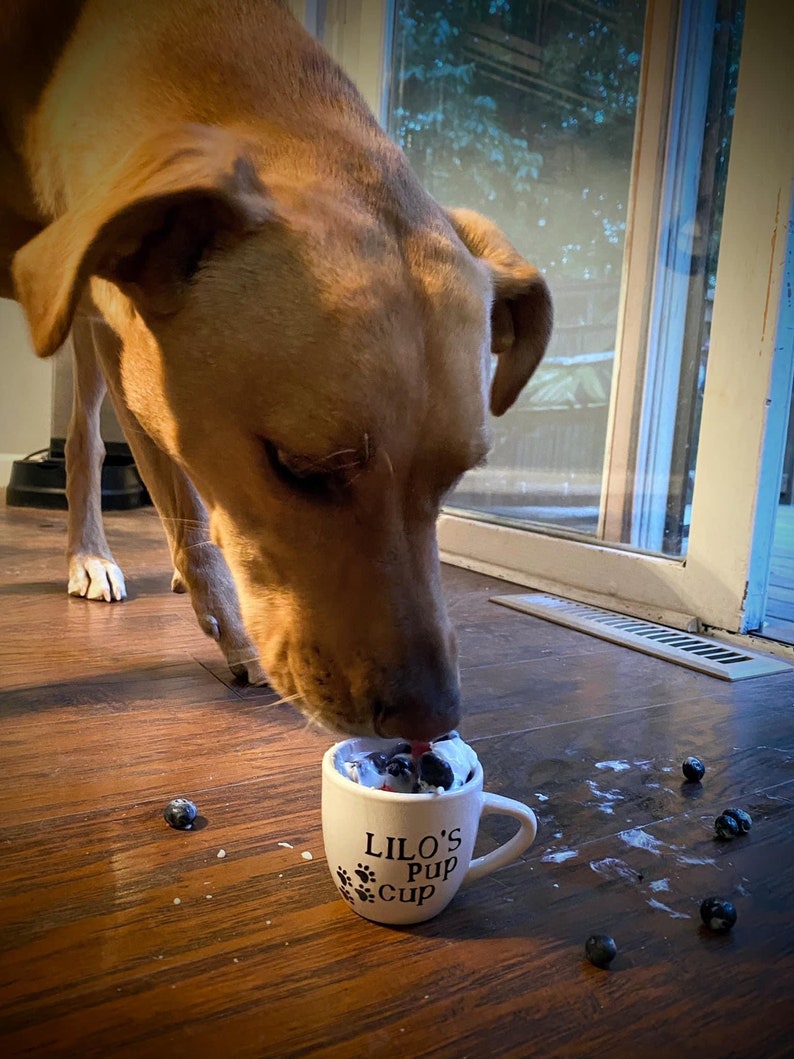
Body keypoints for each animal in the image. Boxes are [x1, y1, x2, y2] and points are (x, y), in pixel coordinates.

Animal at [0, 0, 550, 741]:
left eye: (456, 478)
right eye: (298, 467)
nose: (431, 721)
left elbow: (186, 506)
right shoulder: (117, 334)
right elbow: (177, 494)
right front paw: (233, 630)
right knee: (85, 440)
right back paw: (91, 554)